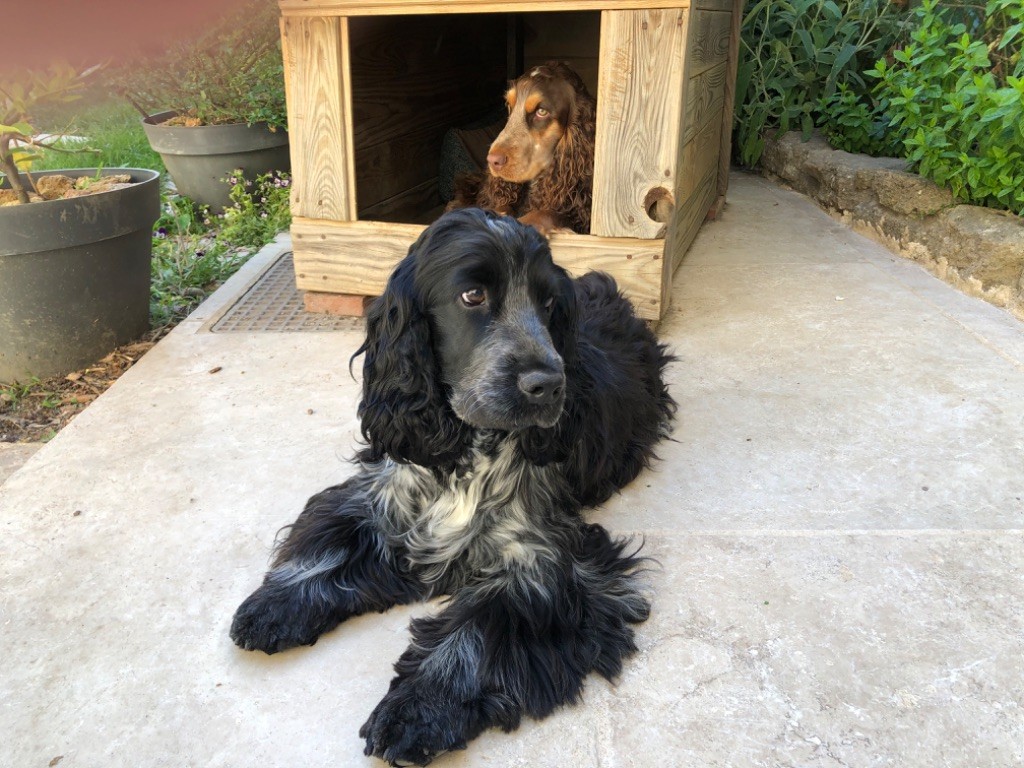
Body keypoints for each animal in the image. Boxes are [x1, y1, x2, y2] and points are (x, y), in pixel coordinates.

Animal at [234, 207, 679, 765]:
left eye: (548, 304)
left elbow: (478, 632)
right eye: (472, 296)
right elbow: (328, 537)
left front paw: (417, 710)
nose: (549, 386)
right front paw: (273, 608)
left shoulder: (546, 561)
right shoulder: (384, 493)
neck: (471, 445)